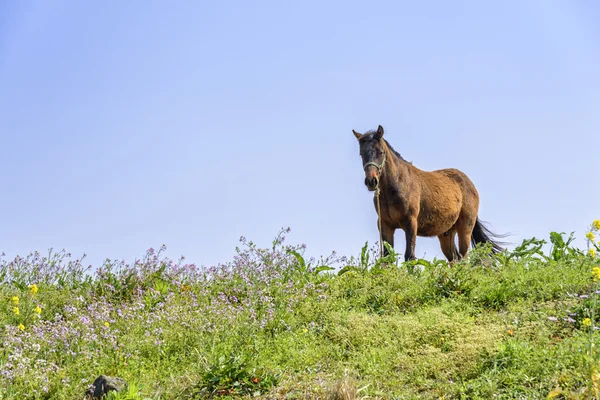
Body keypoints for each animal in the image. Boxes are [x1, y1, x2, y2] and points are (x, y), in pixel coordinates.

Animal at [354, 125, 504, 262]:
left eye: (380, 152)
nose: (371, 181)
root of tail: (469, 183)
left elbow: (410, 256)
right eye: (361, 154)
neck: (397, 185)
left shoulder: (411, 223)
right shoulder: (385, 225)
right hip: (446, 233)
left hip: (465, 228)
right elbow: (386, 258)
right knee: (454, 259)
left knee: (463, 257)